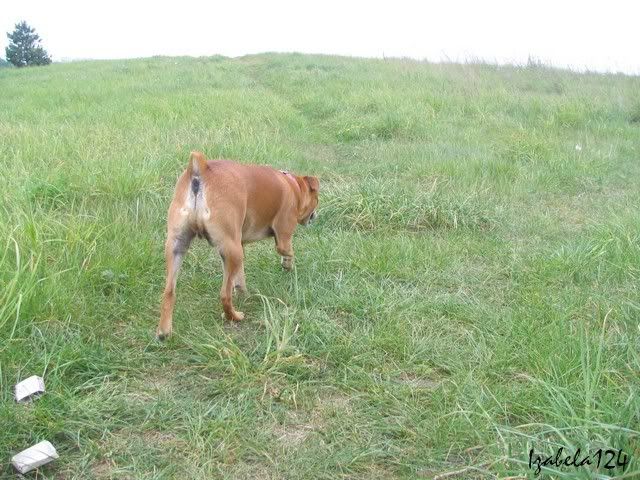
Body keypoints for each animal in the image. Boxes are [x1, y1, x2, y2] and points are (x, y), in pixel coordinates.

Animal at [156, 151, 319, 339]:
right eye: (317, 198)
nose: (316, 215)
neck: (294, 187)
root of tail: (202, 169)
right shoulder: (283, 238)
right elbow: (289, 252)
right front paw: (287, 265)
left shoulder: (238, 246)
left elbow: (239, 276)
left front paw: (243, 292)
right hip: (232, 250)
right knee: (224, 296)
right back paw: (234, 316)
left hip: (178, 247)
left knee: (169, 292)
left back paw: (163, 331)